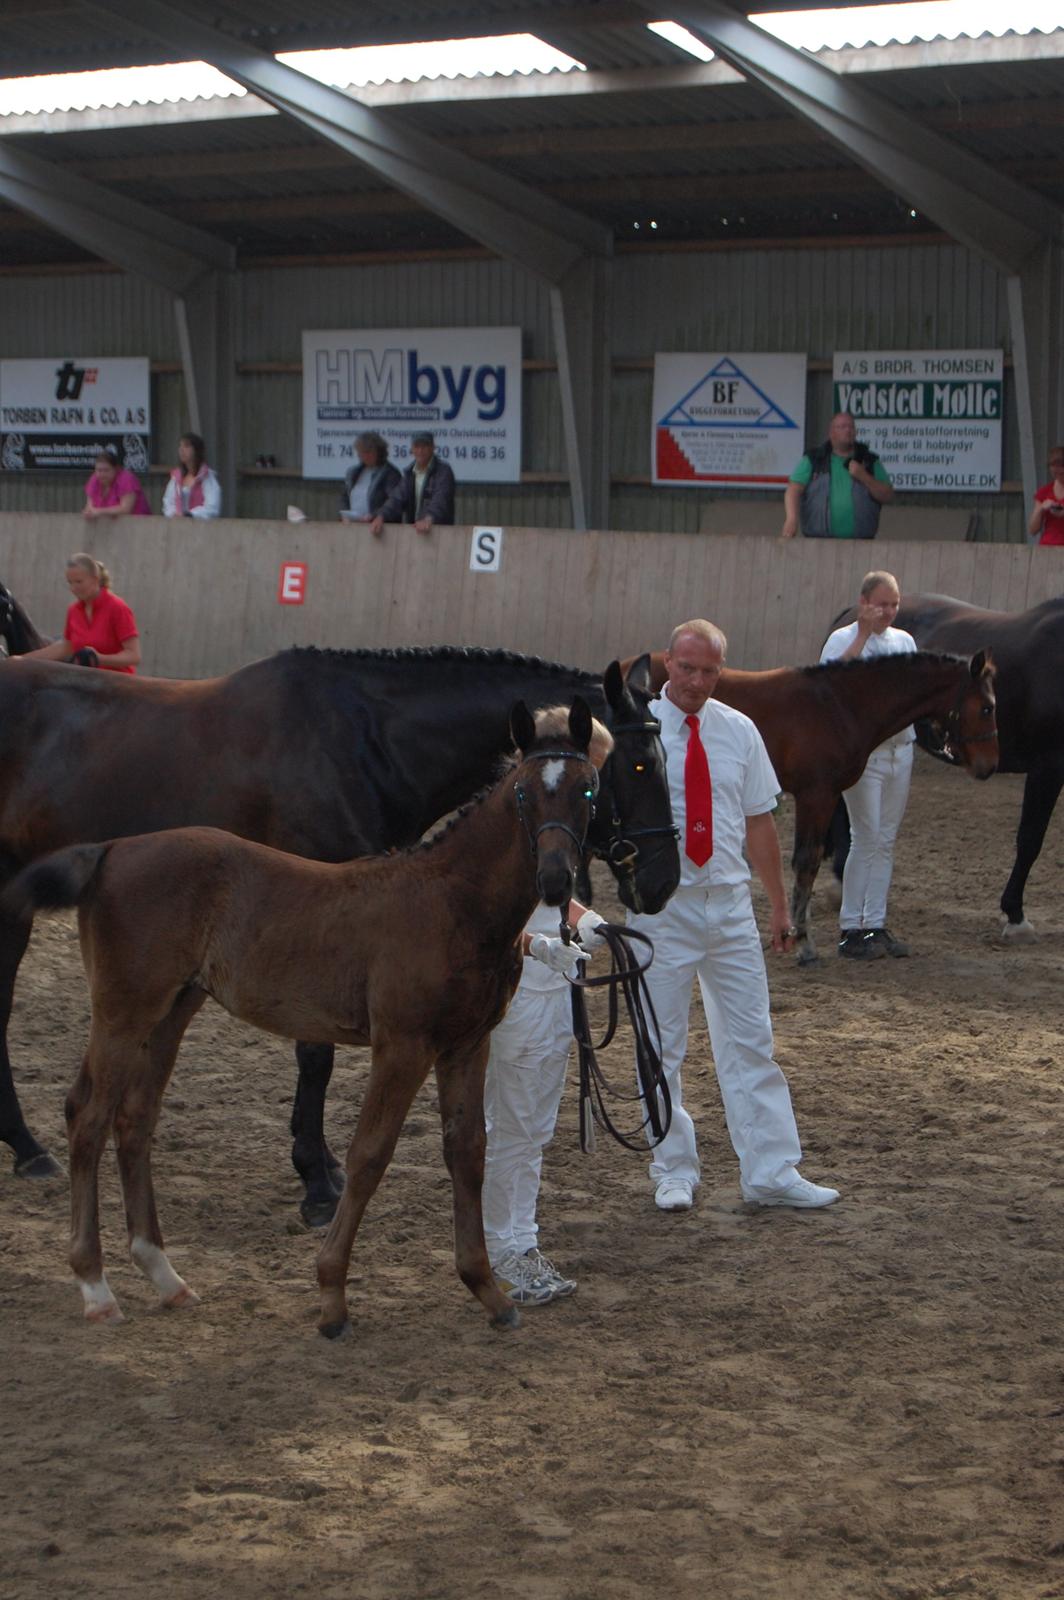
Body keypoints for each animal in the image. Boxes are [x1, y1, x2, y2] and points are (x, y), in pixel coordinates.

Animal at [2, 700, 598, 1337]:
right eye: (522, 793)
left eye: (587, 790)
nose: (556, 881)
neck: (450, 903)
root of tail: (109, 850)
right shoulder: (402, 1046)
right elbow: (368, 1155)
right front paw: (332, 1298)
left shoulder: (465, 1044)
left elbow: (467, 1151)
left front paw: (488, 1292)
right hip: (123, 1013)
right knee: (87, 1116)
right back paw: (95, 1285)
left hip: (169, 1013)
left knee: (134, 1119)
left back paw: (164, 1276)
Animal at [614, 643, 998, 953]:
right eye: (988, 707)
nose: (988, 766)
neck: (841, 704)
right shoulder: (817, 794)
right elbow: (806, 861)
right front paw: (802, 940)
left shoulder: (824, 796)